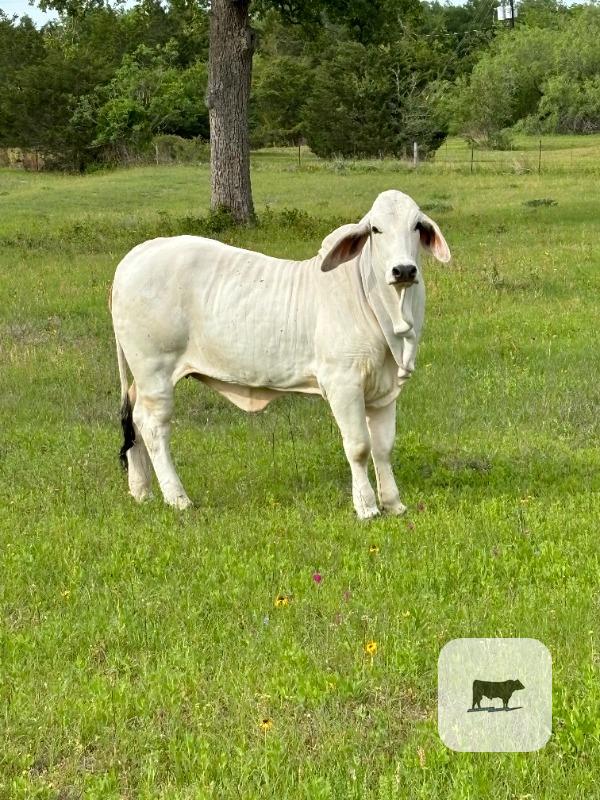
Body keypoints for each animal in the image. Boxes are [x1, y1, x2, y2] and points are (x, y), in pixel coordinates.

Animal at [111, 189, 451, 517]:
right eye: (375, 229)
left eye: (416, 226)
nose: (403, 270)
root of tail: (135, 256)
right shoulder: (343, 383)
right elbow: (358, 447)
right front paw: (366, 506)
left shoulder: (384, 389)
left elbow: (383, 447)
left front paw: (394, 504)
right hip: (155, 371)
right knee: (152, 426)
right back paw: (177, 498)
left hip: (144, 378)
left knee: (134, 419)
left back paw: (141, 491)